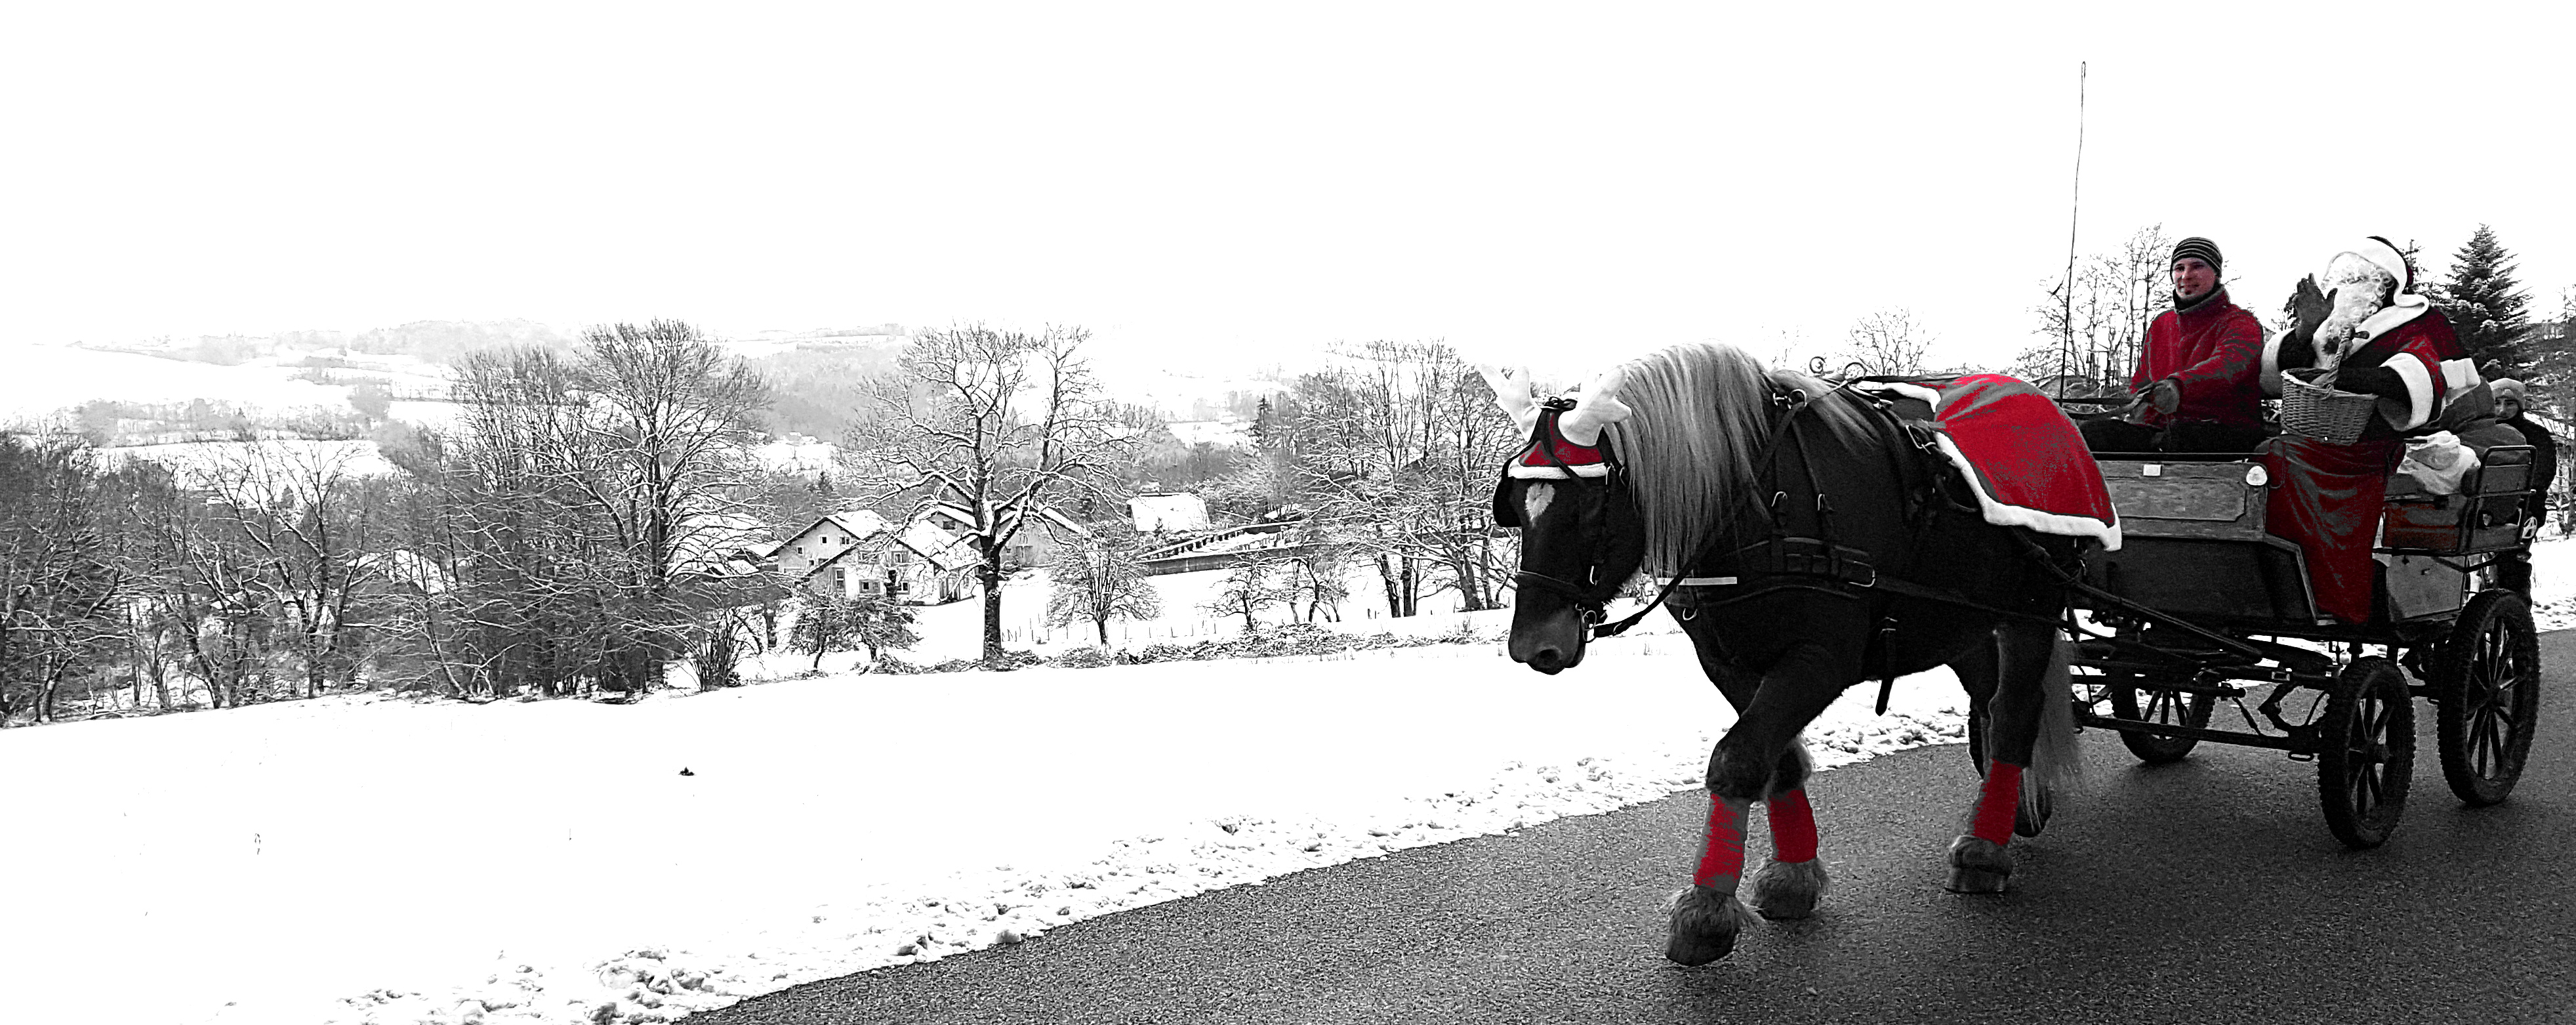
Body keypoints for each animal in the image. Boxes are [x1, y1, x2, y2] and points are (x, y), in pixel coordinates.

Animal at [1494, 345, 2091, 968]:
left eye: (1590, 507)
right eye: (1514, 505)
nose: (1532, 645)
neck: (1762, 503)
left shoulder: (1820, 659)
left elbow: (1736, 760)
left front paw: (1705, 911)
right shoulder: (1727, 662)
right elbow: (1773, 762)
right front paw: (1791, 876)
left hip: (2031, 611)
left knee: (2016, 713)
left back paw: (1983, 849)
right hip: (1960, 620)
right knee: (1990, 703)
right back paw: (2016, 809)